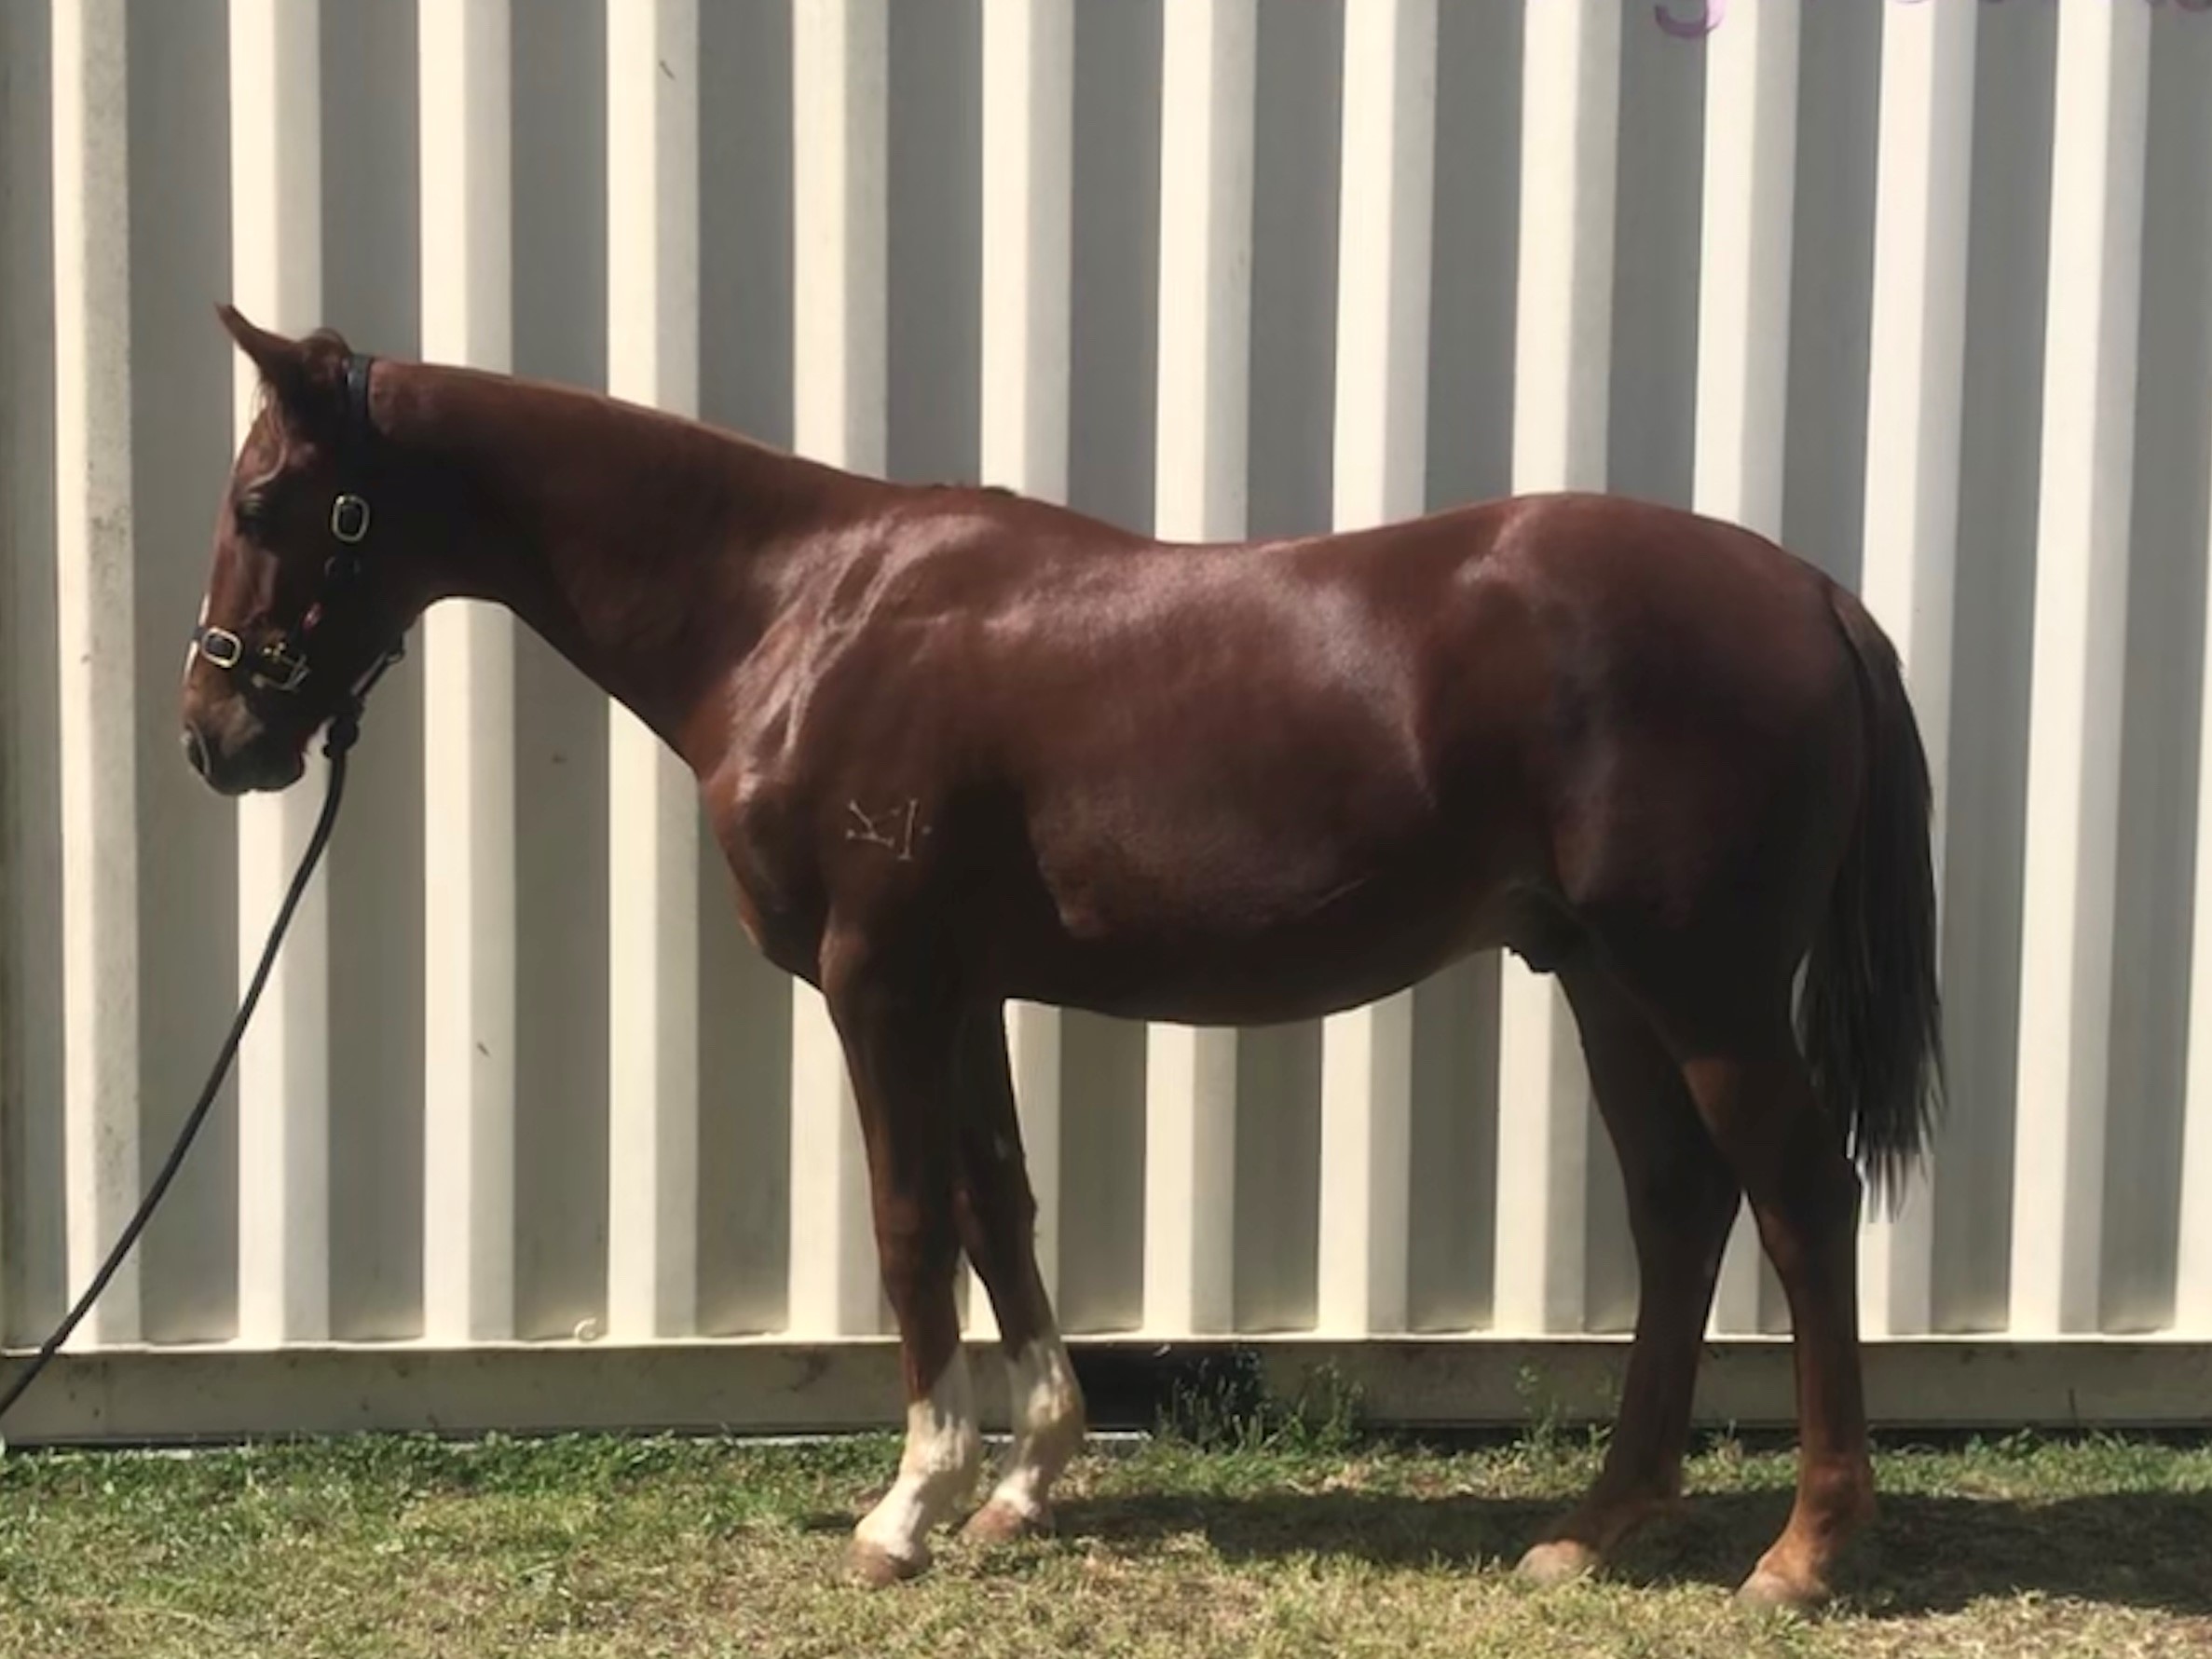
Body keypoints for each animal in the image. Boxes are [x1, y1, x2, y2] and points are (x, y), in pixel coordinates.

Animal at [182, 305, 1941, 1610]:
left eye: (265, 503)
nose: (213, 738)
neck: (797, 611)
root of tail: (1812, 595)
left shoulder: (879, 981)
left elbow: (909, 1230)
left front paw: (903, 1511)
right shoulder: (959, 990)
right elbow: (997, 1212)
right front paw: (1023, 1484)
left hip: (1702, 985)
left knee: (1795, 1201)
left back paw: (1803, 1551)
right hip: (1600, 979)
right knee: (1677, 1208)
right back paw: (1595, 1524)